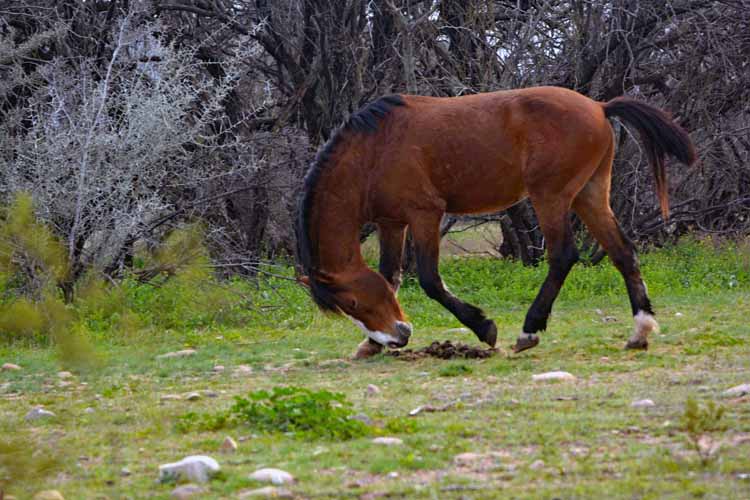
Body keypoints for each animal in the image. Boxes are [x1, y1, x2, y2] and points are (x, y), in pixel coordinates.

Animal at [296, 87, 700, 360]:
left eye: (351, 301)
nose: (399, 337)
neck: (375, 149)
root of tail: (600, 107)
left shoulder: (424, 214)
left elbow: (429, 279)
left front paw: (484, 327)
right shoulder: (392, 223)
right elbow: (389, 277)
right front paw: (369, 344)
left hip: (550, 198)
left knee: (563, 257)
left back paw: (529, 331)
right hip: (589, 196)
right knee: (623, 253)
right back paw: (640, 330)